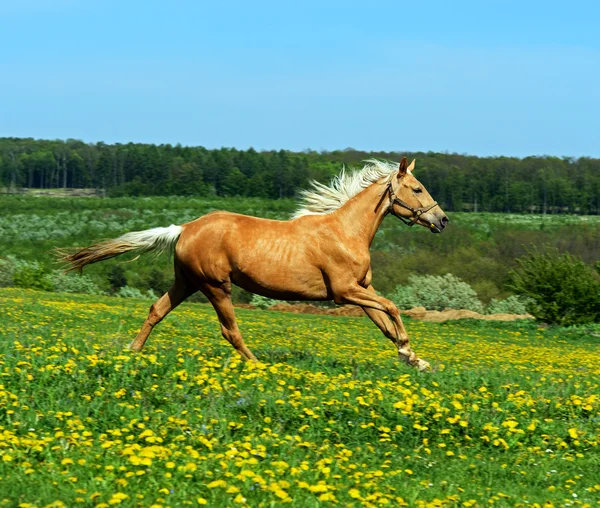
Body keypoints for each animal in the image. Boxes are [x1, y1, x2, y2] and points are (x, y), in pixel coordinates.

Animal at [61, 157, 448, 372]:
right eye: (417, 188)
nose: (442, 220)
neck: (345, 231)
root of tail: (184, 228)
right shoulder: (344, 291)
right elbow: (393, 308)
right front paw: (408, 350)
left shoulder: (361, 288)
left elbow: (384, 322)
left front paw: (415, 359)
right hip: (216, 286)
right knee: (229, 330)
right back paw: (259, 365)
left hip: (186, 282)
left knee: (157, 310)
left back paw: (132, 352)